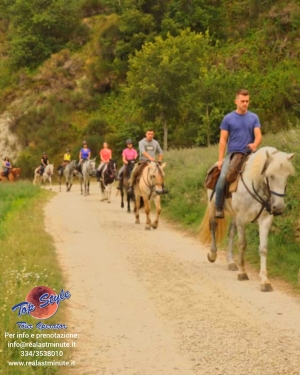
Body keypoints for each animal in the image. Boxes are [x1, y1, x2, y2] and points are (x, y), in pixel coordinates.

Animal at [199, 145, 296, 292]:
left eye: (287, 176)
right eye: (271, 176)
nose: (278, 208)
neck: (255, 183)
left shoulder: (265, 220)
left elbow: (263, 248)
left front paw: (265, 281)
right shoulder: (241, 218)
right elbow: (242, 244)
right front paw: (242, 273)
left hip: (233, 215)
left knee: (231, 233)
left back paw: (231, 262)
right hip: (213, 207)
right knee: (213, 226)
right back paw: (213, 254)